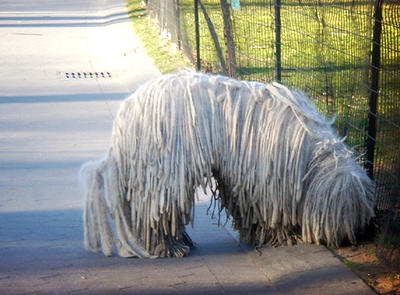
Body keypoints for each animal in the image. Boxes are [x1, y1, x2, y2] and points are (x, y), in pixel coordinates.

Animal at [80, 71, 376, 260]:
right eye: (346, 211)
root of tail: (126, 116)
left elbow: (249, 209)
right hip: (165, 172)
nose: (359, 235)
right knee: (158, 211)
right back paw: (168, 247)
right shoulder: (265, 177)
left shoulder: (243, 179)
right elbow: (268, 209)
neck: (308, 149)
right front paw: (284, 236)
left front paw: (263, 235)